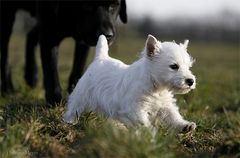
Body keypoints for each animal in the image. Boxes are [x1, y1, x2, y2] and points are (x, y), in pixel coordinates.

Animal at [64, 34, 197, 133]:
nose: (191, 81)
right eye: (174, 66)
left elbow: (173, 116)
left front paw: (185, 126)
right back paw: (69, 121)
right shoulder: (134, 108)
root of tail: (100, 58)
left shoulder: (165, 105)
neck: (155, 86)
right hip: (81, 95)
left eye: (189, 67)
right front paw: (151, 134)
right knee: (74, 107)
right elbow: (143, 122)